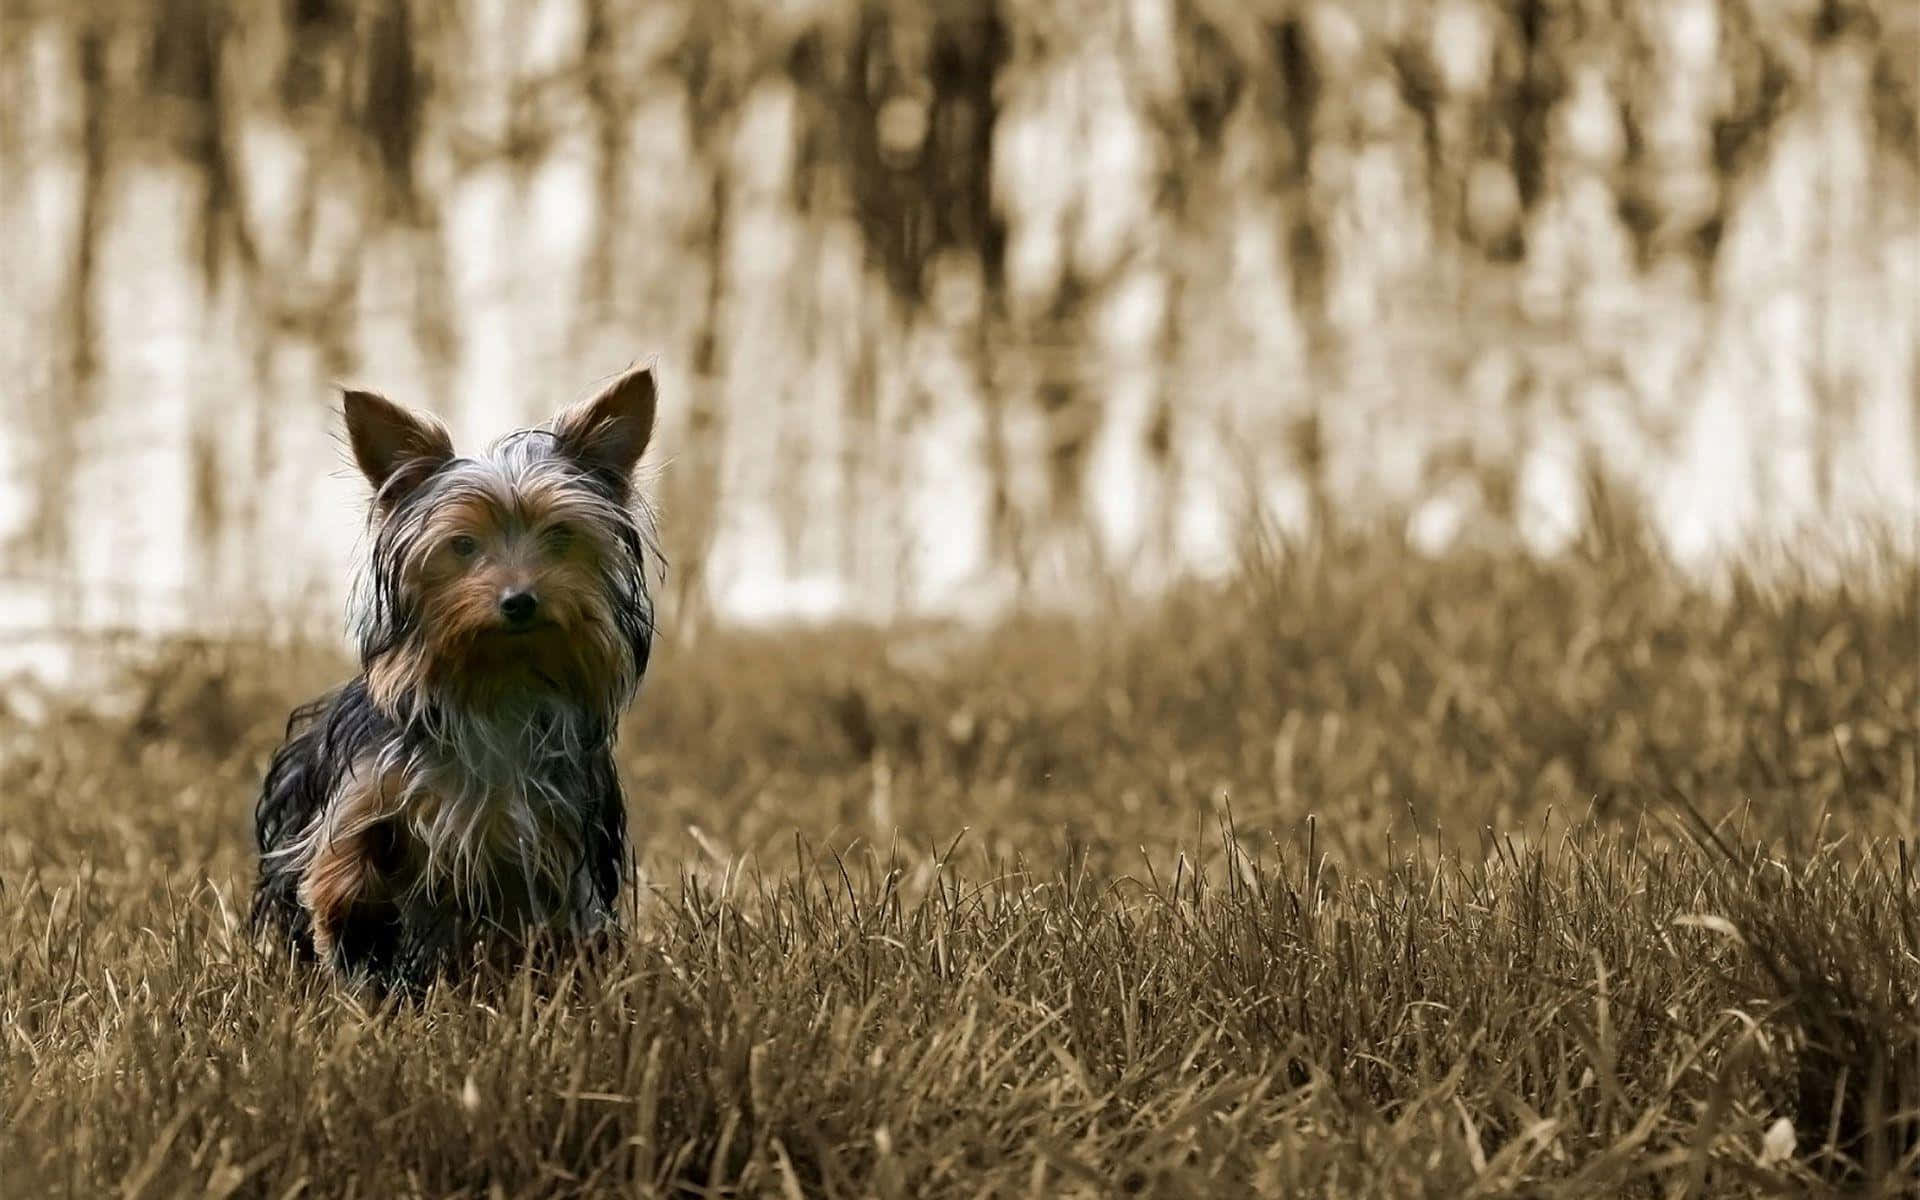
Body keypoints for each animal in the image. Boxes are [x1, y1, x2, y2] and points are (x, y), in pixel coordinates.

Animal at [255, 364, 660, 990]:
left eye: (560, 536)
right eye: (463, 545)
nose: (519, 600)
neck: (498, 684)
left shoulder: (556, 834)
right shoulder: (366, 787)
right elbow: (345, 855)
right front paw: (353, 921)